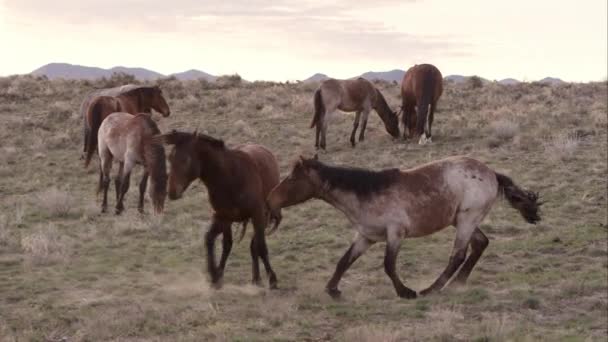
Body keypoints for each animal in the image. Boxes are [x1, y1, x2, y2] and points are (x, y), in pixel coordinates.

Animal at [268, 156, 544, 298]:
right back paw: (457, 283)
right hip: (463, 220)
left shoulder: (395, 234)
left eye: (292, 178)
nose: (271, 198)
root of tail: (492, 174)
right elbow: (344, 261)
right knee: (480, 244)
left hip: (467, 220)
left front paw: (405, 292)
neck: (367, 194)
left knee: (458, 255)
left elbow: (389, 265)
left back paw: (432, 289)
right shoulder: (366, 237)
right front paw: (332, 289)